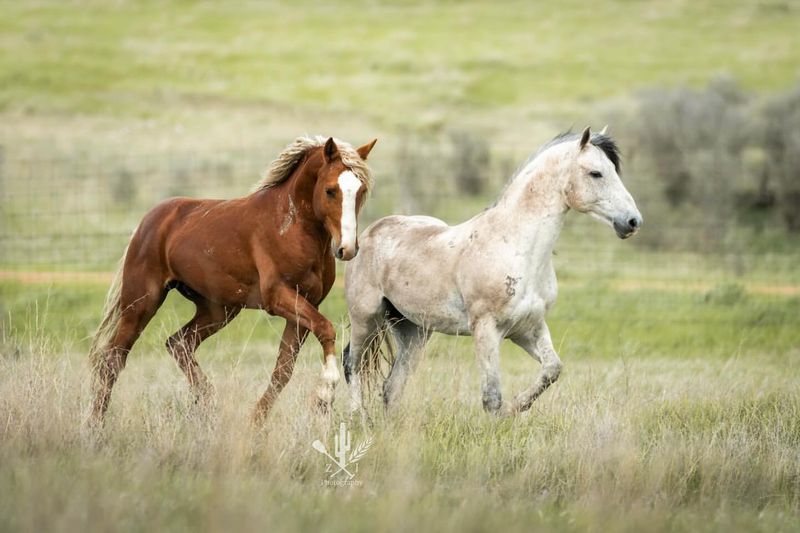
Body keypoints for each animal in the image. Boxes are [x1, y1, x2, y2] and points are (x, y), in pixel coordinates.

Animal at [89, 136, 376, 424]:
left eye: (361, 191)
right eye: (330, 190)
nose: (347, 249)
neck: (290, 226)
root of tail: (146, 222)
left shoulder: (306, 305)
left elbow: (283, 370)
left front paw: (255, 422)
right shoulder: (278, 297)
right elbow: (326, 329)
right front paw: (325, 393)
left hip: (218, 310)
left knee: (179, 343)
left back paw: (208, 402)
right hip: (141, 302)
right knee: (112, 359)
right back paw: (96, 424)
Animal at [344, 125, 644, 416]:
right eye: (596, 173)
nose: (632, 221)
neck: (514, 246)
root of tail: (369, 233)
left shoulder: (529, 327)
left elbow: (552, 369)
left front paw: (516, 408)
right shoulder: (486, 329)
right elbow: (491, 397)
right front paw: (503, 417)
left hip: (413, 330)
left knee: (391, 387)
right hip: (366, 318)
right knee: (352, 363)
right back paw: (358, 417)